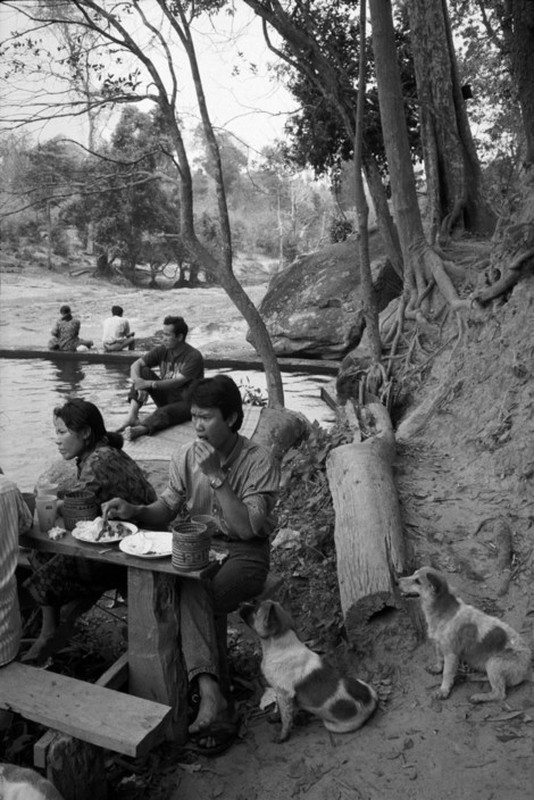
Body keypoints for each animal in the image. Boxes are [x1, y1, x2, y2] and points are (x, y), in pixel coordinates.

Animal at [241, 596, 378, 740]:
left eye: (255, 609)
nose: (240, 604)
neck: (279, 645)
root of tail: (372, 702)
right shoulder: (283, 695)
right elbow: (283, 712)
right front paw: (275, 718)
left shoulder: (284, 693)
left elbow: (286, 719)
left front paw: (282, 737)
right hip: (361, 682)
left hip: (332, 725)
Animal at [400, 568, 532, 700]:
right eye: (413, 573)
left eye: (417, 581)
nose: (397, 581)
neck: (444, 611)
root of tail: (528, 666)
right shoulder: (439, 644)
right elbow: (439, 658)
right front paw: (437, 668)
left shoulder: (451, 655)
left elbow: (446, 673)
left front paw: (443, 690)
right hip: (488, 665)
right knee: (488, 679)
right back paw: (467, 677)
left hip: (493, 663)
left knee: (499, 693)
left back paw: (479, 697)